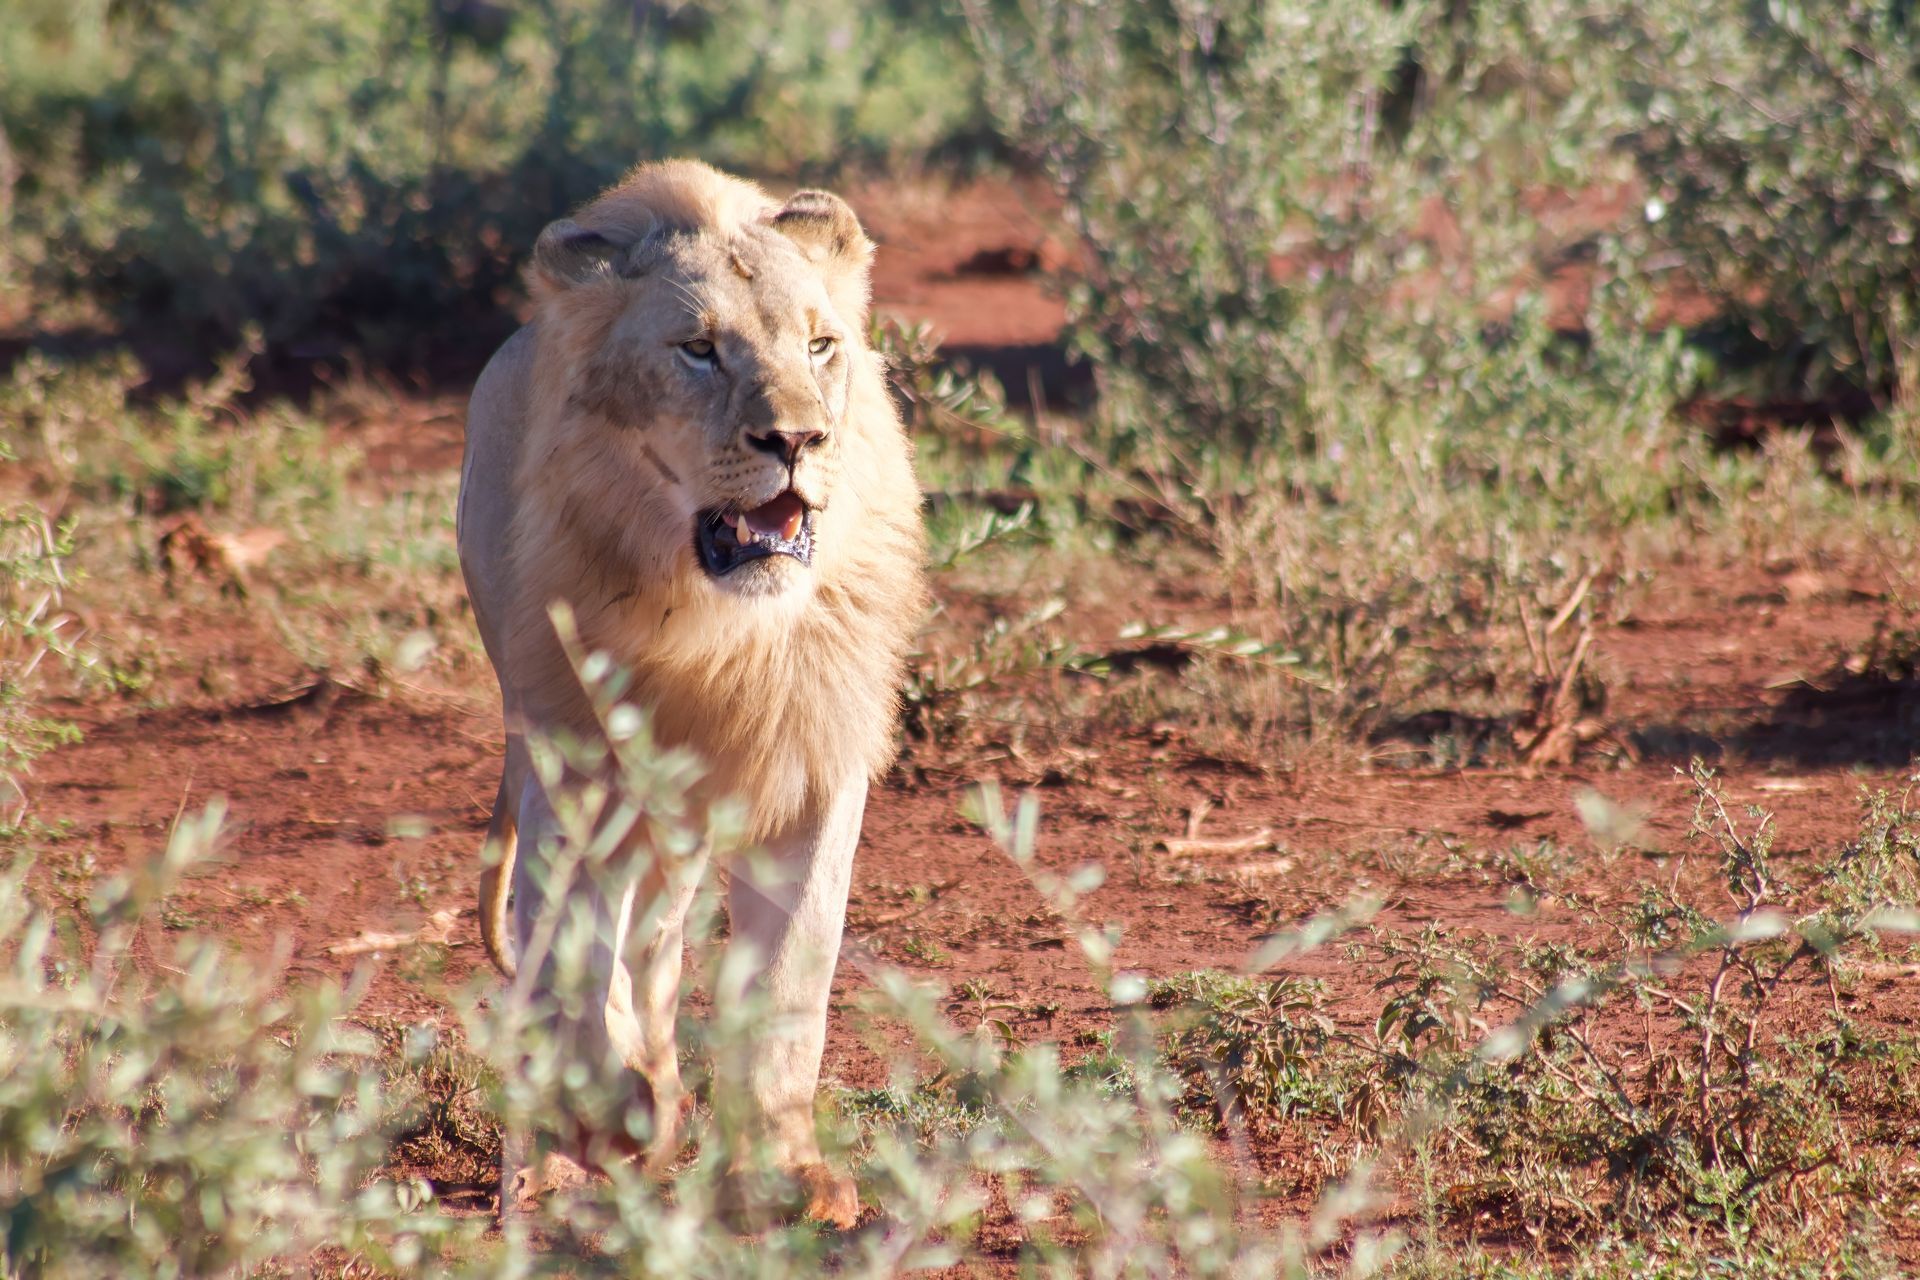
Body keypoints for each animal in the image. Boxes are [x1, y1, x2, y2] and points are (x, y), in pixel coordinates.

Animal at [457, 160, 926, 1225]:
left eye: (821, 344)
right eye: (700, 351)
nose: (798, 438)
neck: (718, 631)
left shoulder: (818, 767)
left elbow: (792, 973)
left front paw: (789, 1173)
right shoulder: (575, 763)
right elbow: (573, 955)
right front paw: (615, 1113)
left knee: (661, 928)